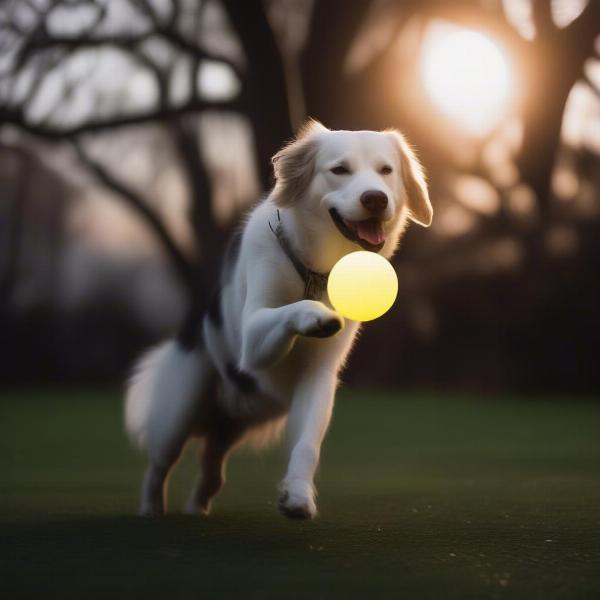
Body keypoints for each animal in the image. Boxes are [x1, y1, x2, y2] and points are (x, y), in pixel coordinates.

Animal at [124, 119, 432, 516]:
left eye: (386, 170)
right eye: (339, 170)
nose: (375, 199)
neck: (316, 270)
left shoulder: (318, 377)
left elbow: (307, 444)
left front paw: (298, 495)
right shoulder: (253, 337)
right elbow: (290, 311)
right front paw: (318, 316)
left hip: (231, 427)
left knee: (211, 472)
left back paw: (196, 510)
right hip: (178, 410)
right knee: (159, 465)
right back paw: (151, 510)